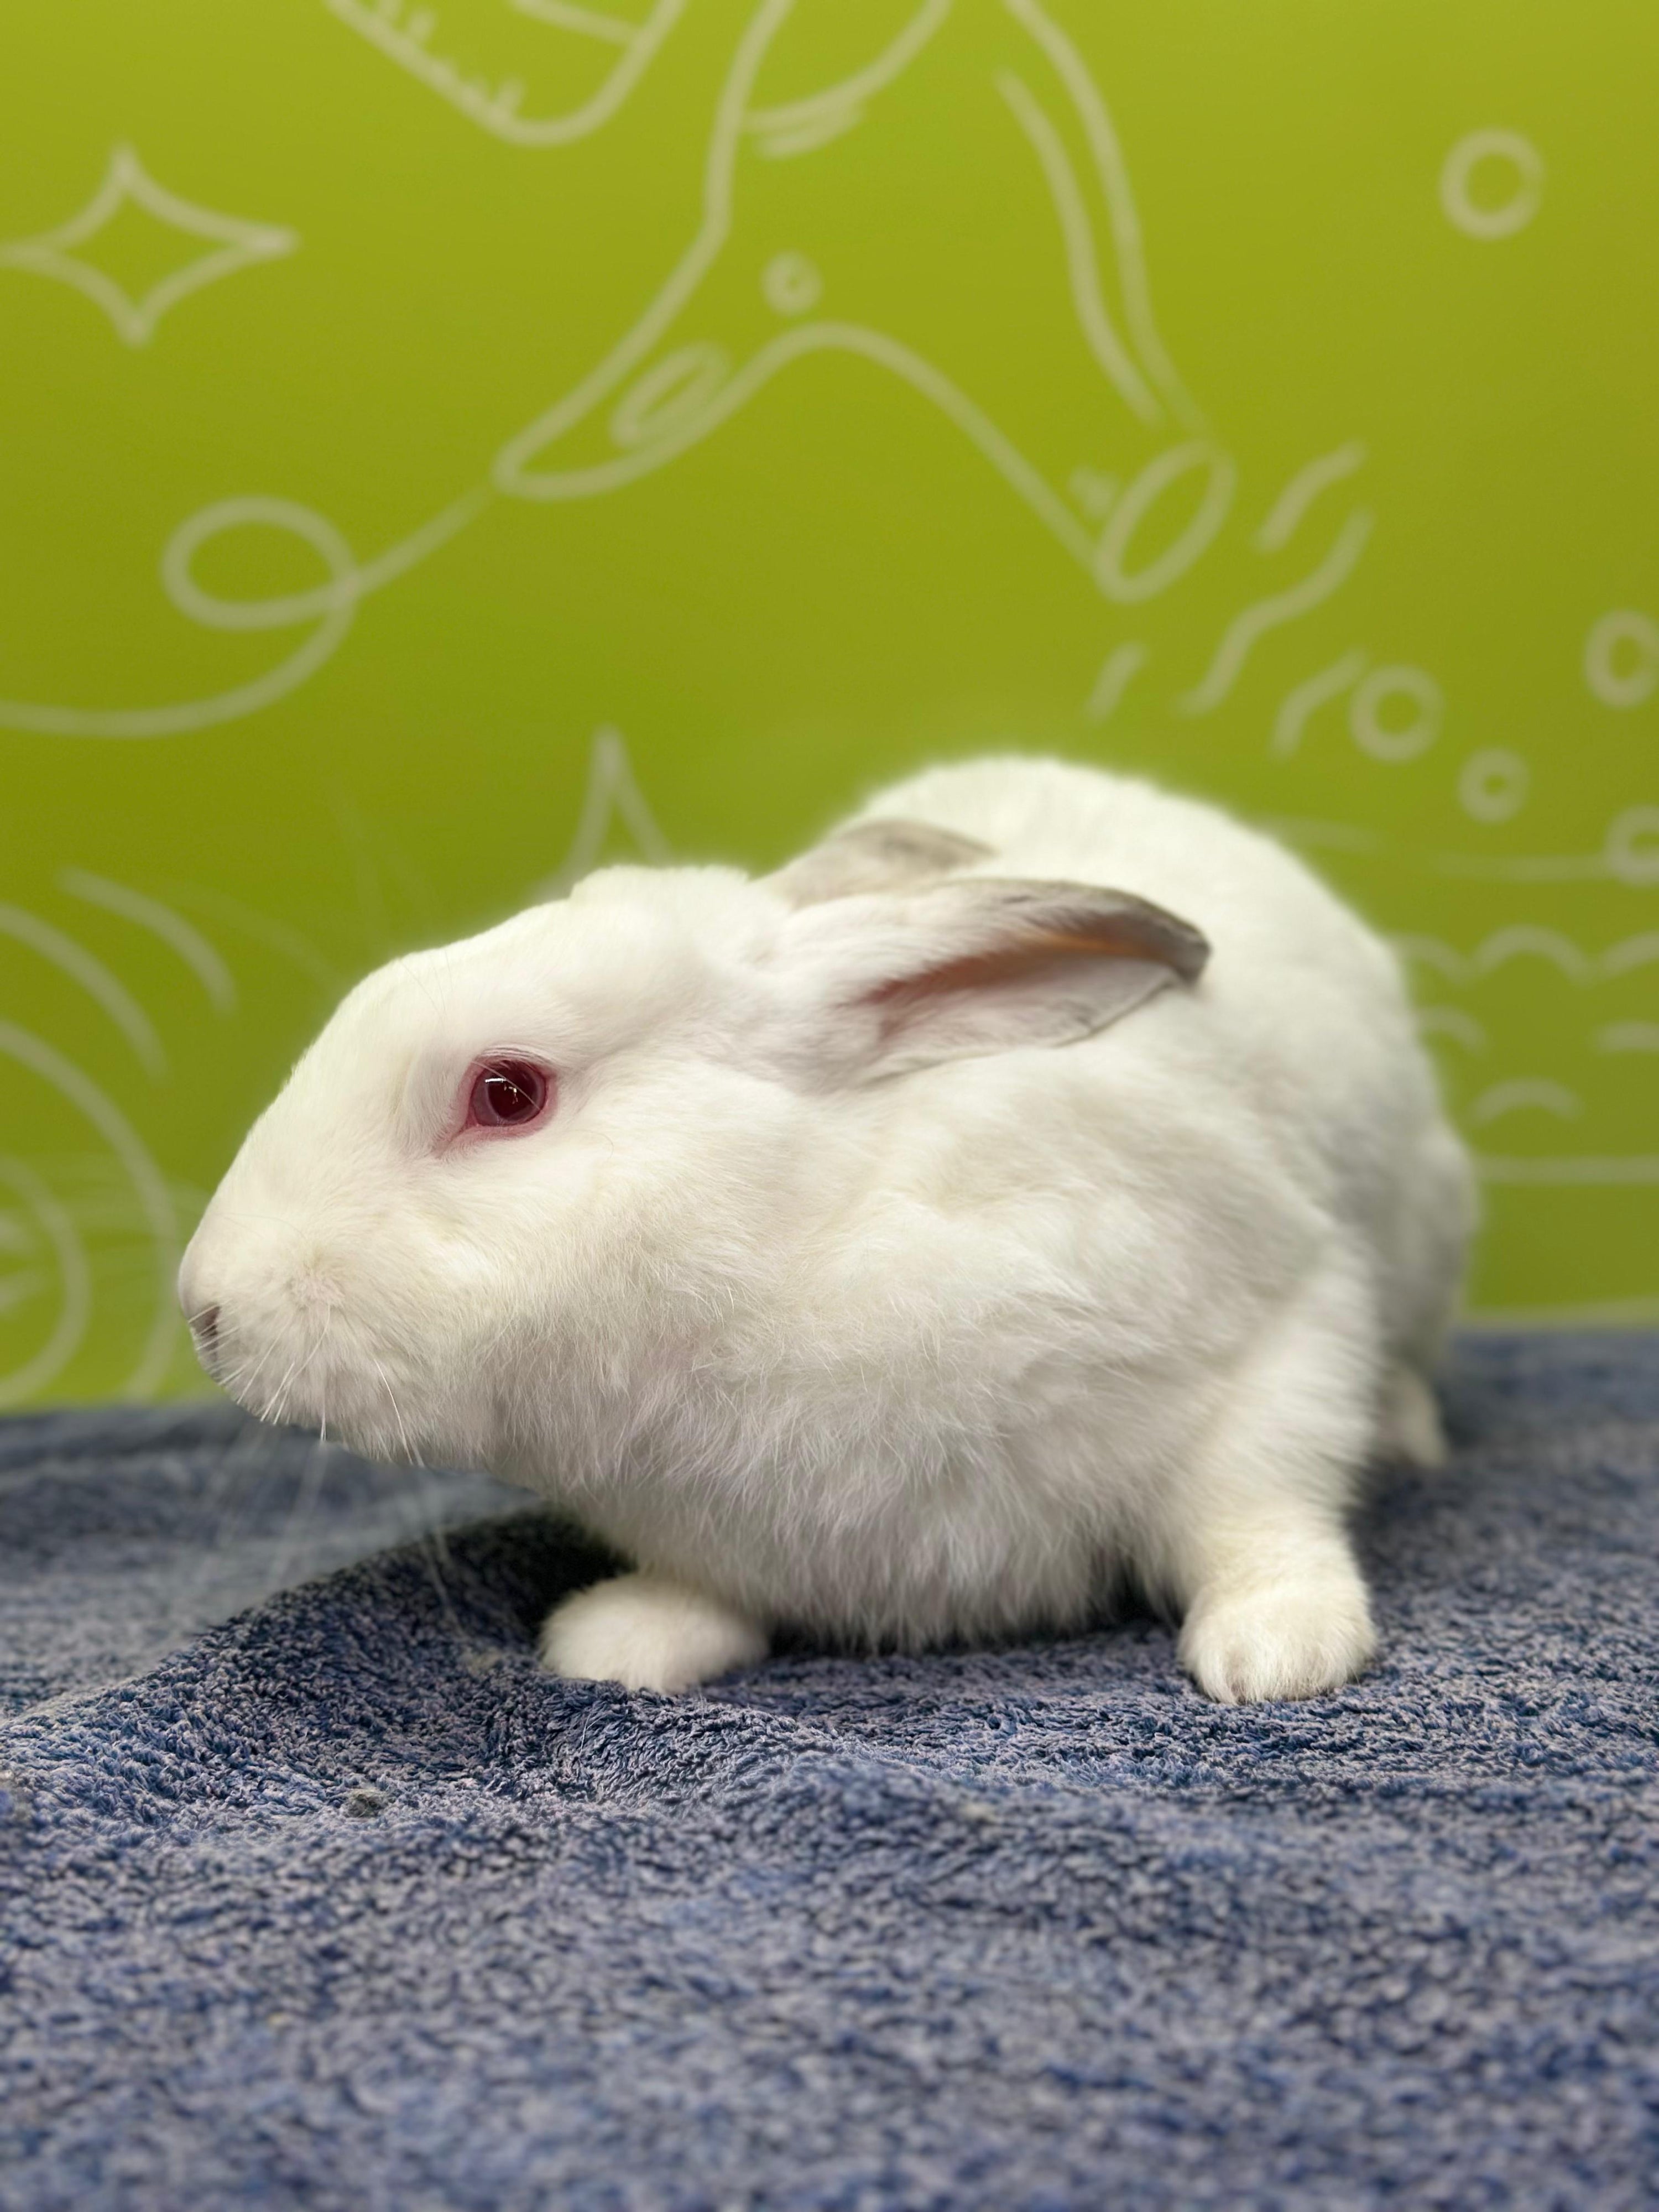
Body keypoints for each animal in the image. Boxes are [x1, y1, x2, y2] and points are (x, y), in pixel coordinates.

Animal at [179, 755, 1475, 1703]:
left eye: (507, 1093)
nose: (205, 1307)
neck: (790, 1232)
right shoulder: (719, 1534)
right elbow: (699, 1598)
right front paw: (617, 1642)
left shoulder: (1276, 1332)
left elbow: (1258, 1508)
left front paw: (1279, 1654)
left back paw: (1411, 1437)